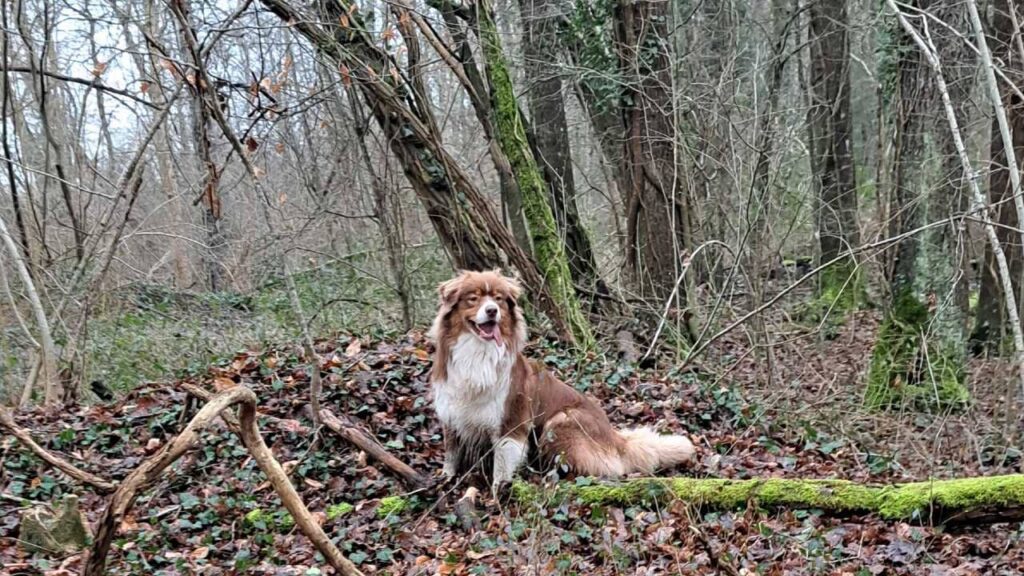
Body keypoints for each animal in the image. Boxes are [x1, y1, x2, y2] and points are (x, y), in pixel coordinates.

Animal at [423, 268, 696, 487]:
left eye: (499, 299)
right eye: (473, 298)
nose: (492, 311)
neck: (477, 353)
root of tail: (614, 437)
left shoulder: (511, 421)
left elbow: (502, 464)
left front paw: (498, 492)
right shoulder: (452, 411)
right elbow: (451, 452)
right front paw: (446, 478)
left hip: (561, 420)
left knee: (602, 468)